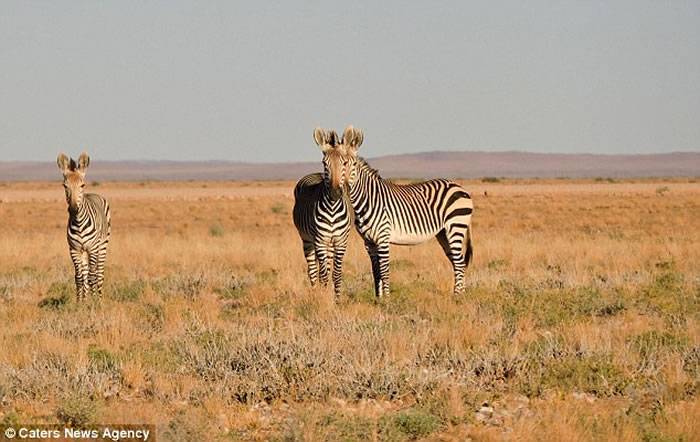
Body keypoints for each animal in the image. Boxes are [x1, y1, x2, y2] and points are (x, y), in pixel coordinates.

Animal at [56, 152, 110, 300]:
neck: (79, 224)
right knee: (85, 275)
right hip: (84, 251)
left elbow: (92, 277)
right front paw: (80, 302)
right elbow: (79, 278)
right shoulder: (74, 250)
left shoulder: (92, 248)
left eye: (82, 185)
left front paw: (93, 302)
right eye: (65, 186)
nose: (74, 210)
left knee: (98, 274)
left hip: (102, 246)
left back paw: (99, 299)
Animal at [292, 129, 352, 298]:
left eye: (345, 163)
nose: (334, 193)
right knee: (312, 270)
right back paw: (314, 293)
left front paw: (337, 300)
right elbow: (323, 275)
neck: (332, 208)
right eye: (325, 163)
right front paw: (323, 299)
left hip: (329, 244)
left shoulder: (340, 242)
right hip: (307, 240)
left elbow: (336, 274)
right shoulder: (319, 240)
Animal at [334, 125, 476, 296]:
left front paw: (387, 299)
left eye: (350, 164)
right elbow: (376, 272)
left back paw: (457, 296)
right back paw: (461, 295)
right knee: (457, 262)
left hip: (456, 226)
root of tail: (461, 188)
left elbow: (384, 271)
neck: (367, 199)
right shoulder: (368, 243)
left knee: (460, 263)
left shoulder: (383, 238)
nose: (339, 187)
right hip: (444, 233)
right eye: (334, 163)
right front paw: (378, 298)